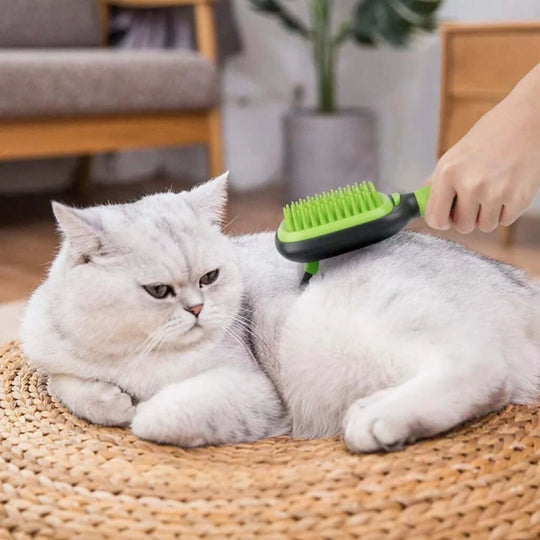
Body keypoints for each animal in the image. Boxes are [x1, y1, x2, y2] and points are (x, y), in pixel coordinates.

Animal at [19, 174, 536, 452]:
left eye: (209, 277)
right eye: (159, 291)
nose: (198, 309)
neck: (132, 356)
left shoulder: (252, 390)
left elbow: (154, 418)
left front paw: (140, 409)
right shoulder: (49, 353)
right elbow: (65, 384)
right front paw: (109, 399)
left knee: (484, 374)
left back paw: (377, 420)